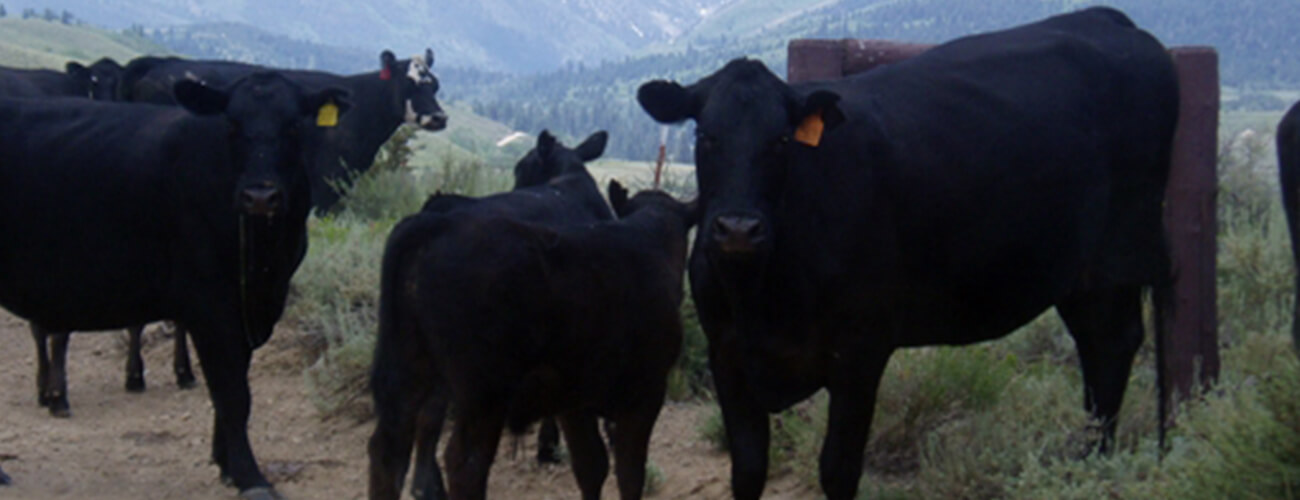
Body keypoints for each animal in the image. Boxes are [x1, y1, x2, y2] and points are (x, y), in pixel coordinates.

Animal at [0, 71, 349, 499]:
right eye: (232, 124)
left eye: (294, 126)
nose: (260, 196)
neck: (266, 255)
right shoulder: (210, 303)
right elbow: (233, 393)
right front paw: (251, 477)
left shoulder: (249, 306)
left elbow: (233, 386)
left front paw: (226, 464)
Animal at [368, 173, 694, 500]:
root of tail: (435, 225)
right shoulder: (646, 393)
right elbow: (629, 473)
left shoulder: (574, 401)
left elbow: (592, 466)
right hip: (482, 395)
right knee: (464, 462)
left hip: (407, 376)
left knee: (389, 451)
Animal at [636, 7, 1178, 499]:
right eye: (705, 135)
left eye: (781, 139)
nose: (738, 229)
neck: (763, 293)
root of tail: (1105, 19)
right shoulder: (726, 350)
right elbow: (748, 469)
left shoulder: (861, 347)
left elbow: (837, 469)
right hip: (1078, 276)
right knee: (1096, 348)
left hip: (1118, 257)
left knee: (1113, 346)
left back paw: (1093, 463)